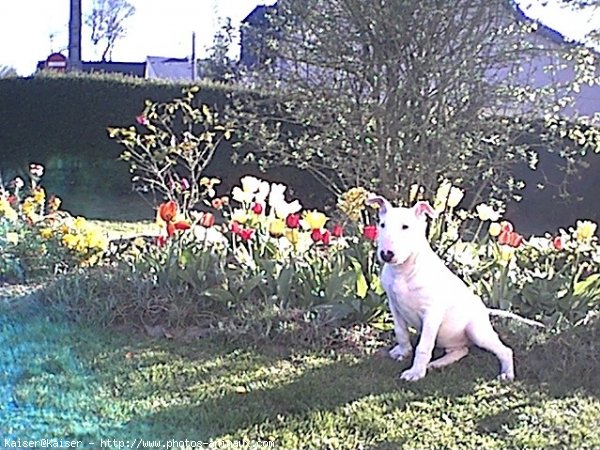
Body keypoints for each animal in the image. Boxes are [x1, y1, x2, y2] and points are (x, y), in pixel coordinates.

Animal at [366, 195, 540, 382]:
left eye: (406, 227)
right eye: (382, 224)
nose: (386, 254)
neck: (403, 271)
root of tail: (484, 311)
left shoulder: (431, 313)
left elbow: (423, 346)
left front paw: (415, 373)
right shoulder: (394, 304)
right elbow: (401, 331)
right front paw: (402, 352)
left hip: (476, 331)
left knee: (504, 350)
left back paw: (507, 373)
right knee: (461, 351)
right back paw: (437, 363)